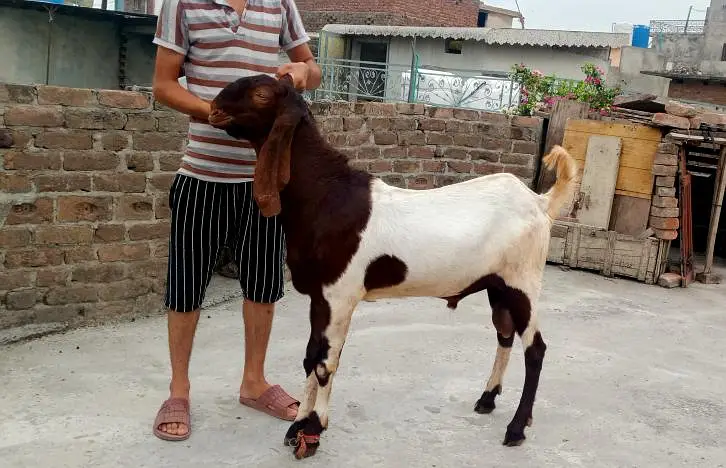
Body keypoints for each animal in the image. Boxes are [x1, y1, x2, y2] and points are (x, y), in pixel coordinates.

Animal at [208, 74, 577, 459]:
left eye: (261, 94)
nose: (213, 108)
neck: (326, 195)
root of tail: (540, 202)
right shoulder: (319, 297)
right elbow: (310, 357)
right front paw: (297, 427)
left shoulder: (341, 296)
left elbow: (325, 363)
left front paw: (313, 430)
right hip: (498, 284)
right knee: (505, 334)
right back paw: (487, 399)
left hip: (524, 281)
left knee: (535, 348)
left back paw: (516, 428)